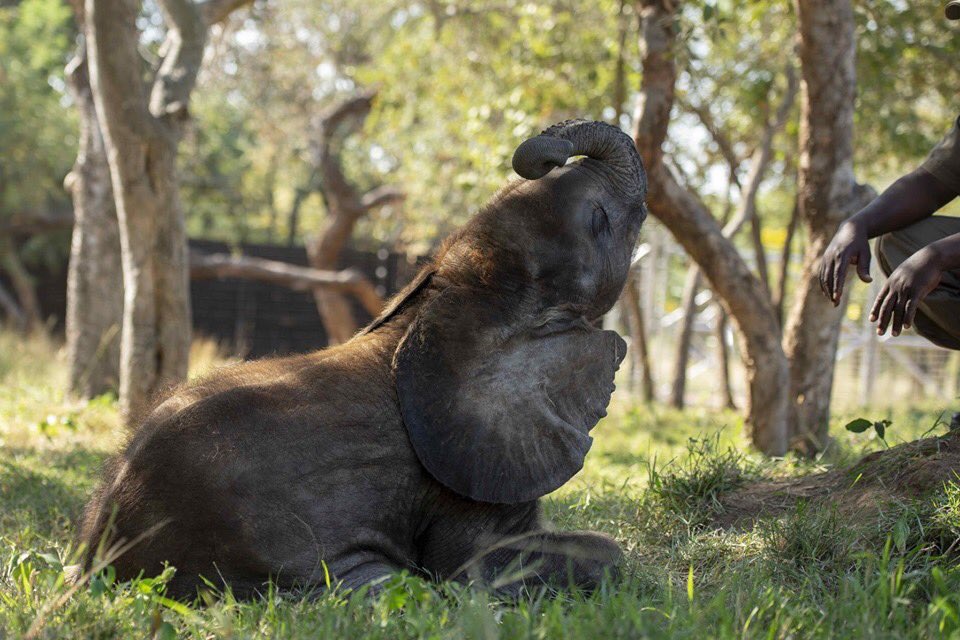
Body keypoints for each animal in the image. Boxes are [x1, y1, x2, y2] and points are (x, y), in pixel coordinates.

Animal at [76, 119, 648, 600]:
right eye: (598, 221)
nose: (547, 154)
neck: (452, 294)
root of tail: (91, 564)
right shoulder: (465, 477)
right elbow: (490, 567)